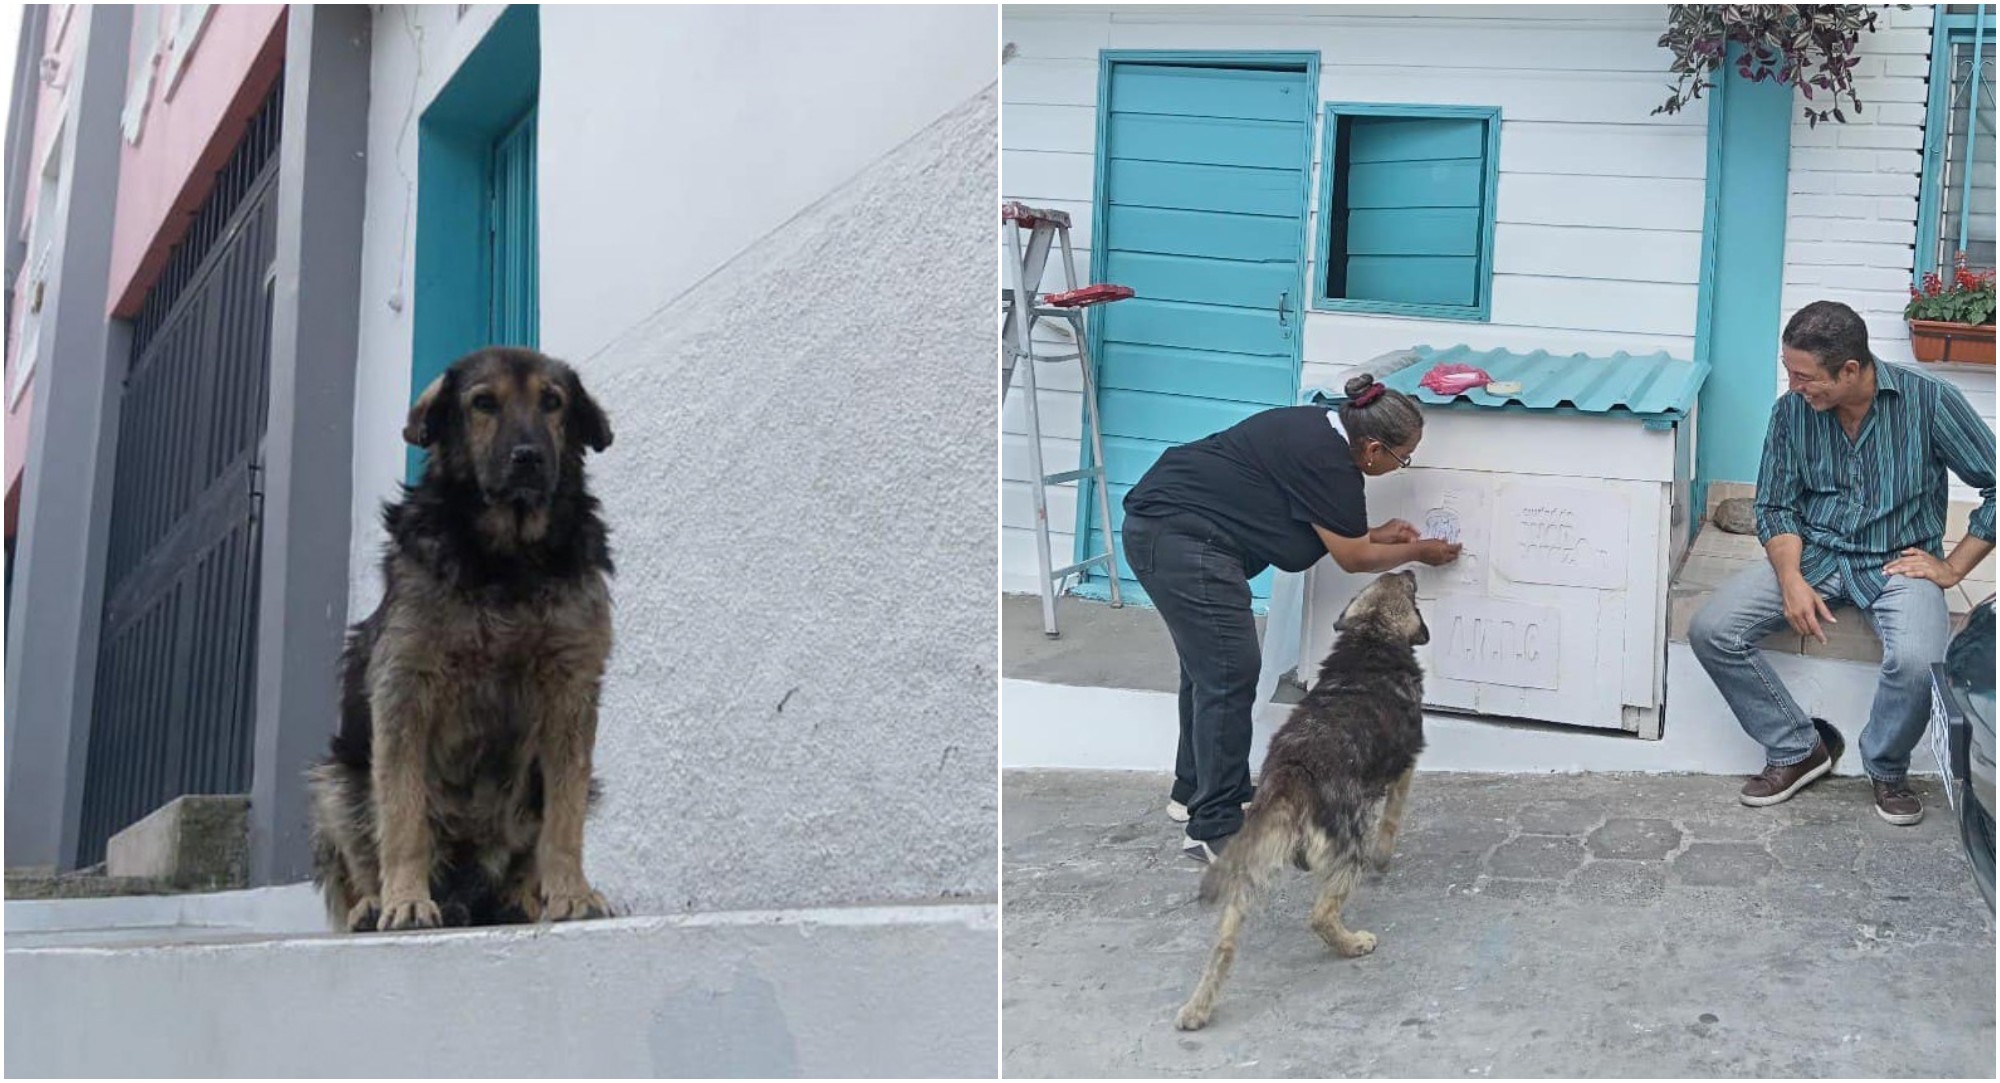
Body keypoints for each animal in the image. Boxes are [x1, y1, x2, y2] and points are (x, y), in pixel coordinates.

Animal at [304, 345, 612, 935]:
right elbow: (402, 816)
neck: (508, 560)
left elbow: (563, 822)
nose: (528, 458)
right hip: (336, 779)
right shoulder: (402, 688)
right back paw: (372, 904)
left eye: (553, 402)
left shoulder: (571, 690)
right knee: (361, 853)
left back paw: (522, 897)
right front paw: (405, 900)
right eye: (483, 403)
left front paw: (571, 893)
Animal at [1176, 567, 1432, 1039]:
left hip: (1253, 866)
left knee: (1224, 942)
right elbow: (1391, 820)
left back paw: (1198, 1008)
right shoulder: (1405, 766)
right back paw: (1353, 943)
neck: (1371, 638)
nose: (1406, 569)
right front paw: (1386, 857)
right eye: (1409, 588)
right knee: (1321, 914)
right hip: (1348, 847)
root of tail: (1291, 775)